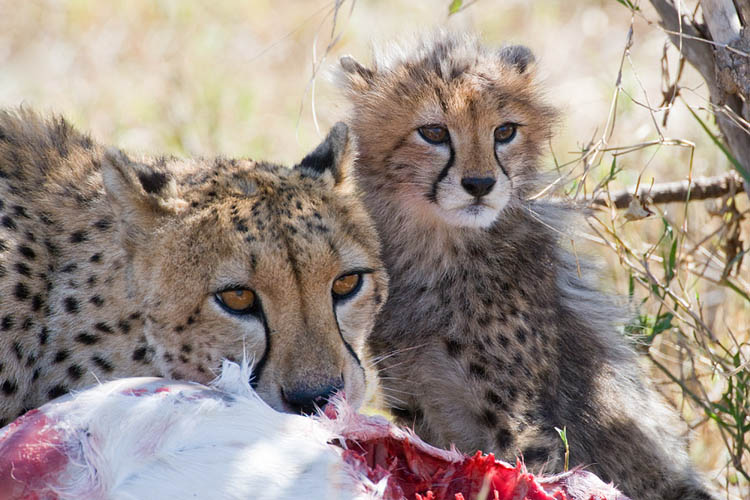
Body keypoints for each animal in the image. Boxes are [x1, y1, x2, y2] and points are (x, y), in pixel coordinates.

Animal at [336, 32, 716, 500]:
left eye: (504, 131)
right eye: (433, 132)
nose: (480, 184)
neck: (440, 250)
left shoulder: (523, 423)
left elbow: (523, 473)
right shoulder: (416, 407)